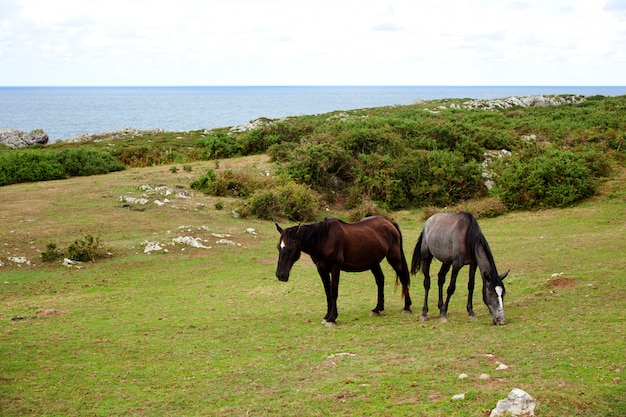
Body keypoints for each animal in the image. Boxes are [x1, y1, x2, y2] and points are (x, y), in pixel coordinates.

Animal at [276, 216, 412, 326]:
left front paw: (332, 318)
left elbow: (333, 292)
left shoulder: (335, 268)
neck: (323, 240)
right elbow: (327, 292)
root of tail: (389, 222)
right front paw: (326, 316)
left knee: (403, 277)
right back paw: (377, 309)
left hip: (394, 258)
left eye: (291, 247)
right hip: (374, 263)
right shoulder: (322, 269)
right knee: (380, 280)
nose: (280, 275)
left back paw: (406, 307)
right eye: (279, 247)